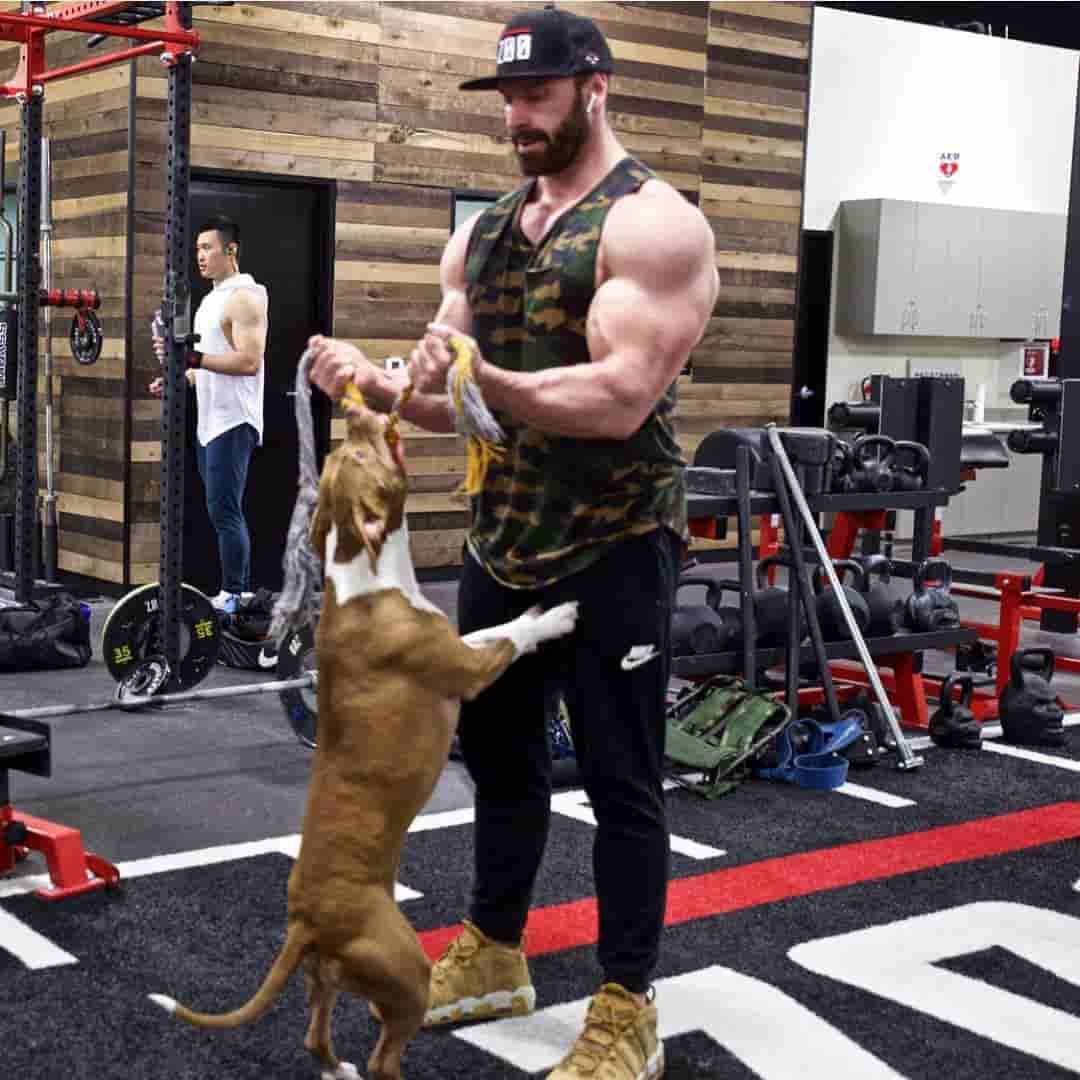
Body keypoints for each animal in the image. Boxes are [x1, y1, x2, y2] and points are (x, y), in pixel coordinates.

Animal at [150, 399, 583, 1080]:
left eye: (335, 456)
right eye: (357, 454)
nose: (354, 407)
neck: (367, 574)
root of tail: (305, 923)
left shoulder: (459, 643)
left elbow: (494, 627)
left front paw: (539, 610)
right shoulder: (467, 669)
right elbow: (508, 638)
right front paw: (555, 617)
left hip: (326, 978)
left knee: (316, 1035)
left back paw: (337, 1066)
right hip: (404, 971)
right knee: (385, 1056)